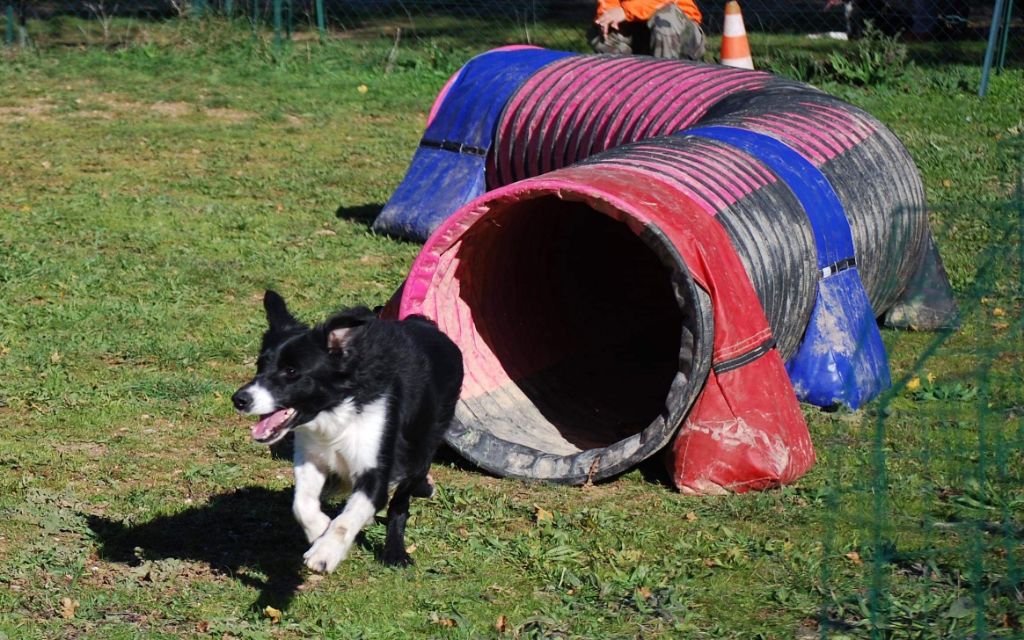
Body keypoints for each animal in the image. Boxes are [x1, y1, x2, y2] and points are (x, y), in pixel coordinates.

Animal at [232, 292, 464, 573]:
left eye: (291, 372)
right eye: (260, 364)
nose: (239, 399)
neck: (336, 409)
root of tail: (428, 325)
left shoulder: (375, 468)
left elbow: (349, 518)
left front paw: (326, 552)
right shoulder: (311, 456)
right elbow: (302, 503)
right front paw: (320, 530)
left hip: (422, 445)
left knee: (401, 503)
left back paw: (395, 551)